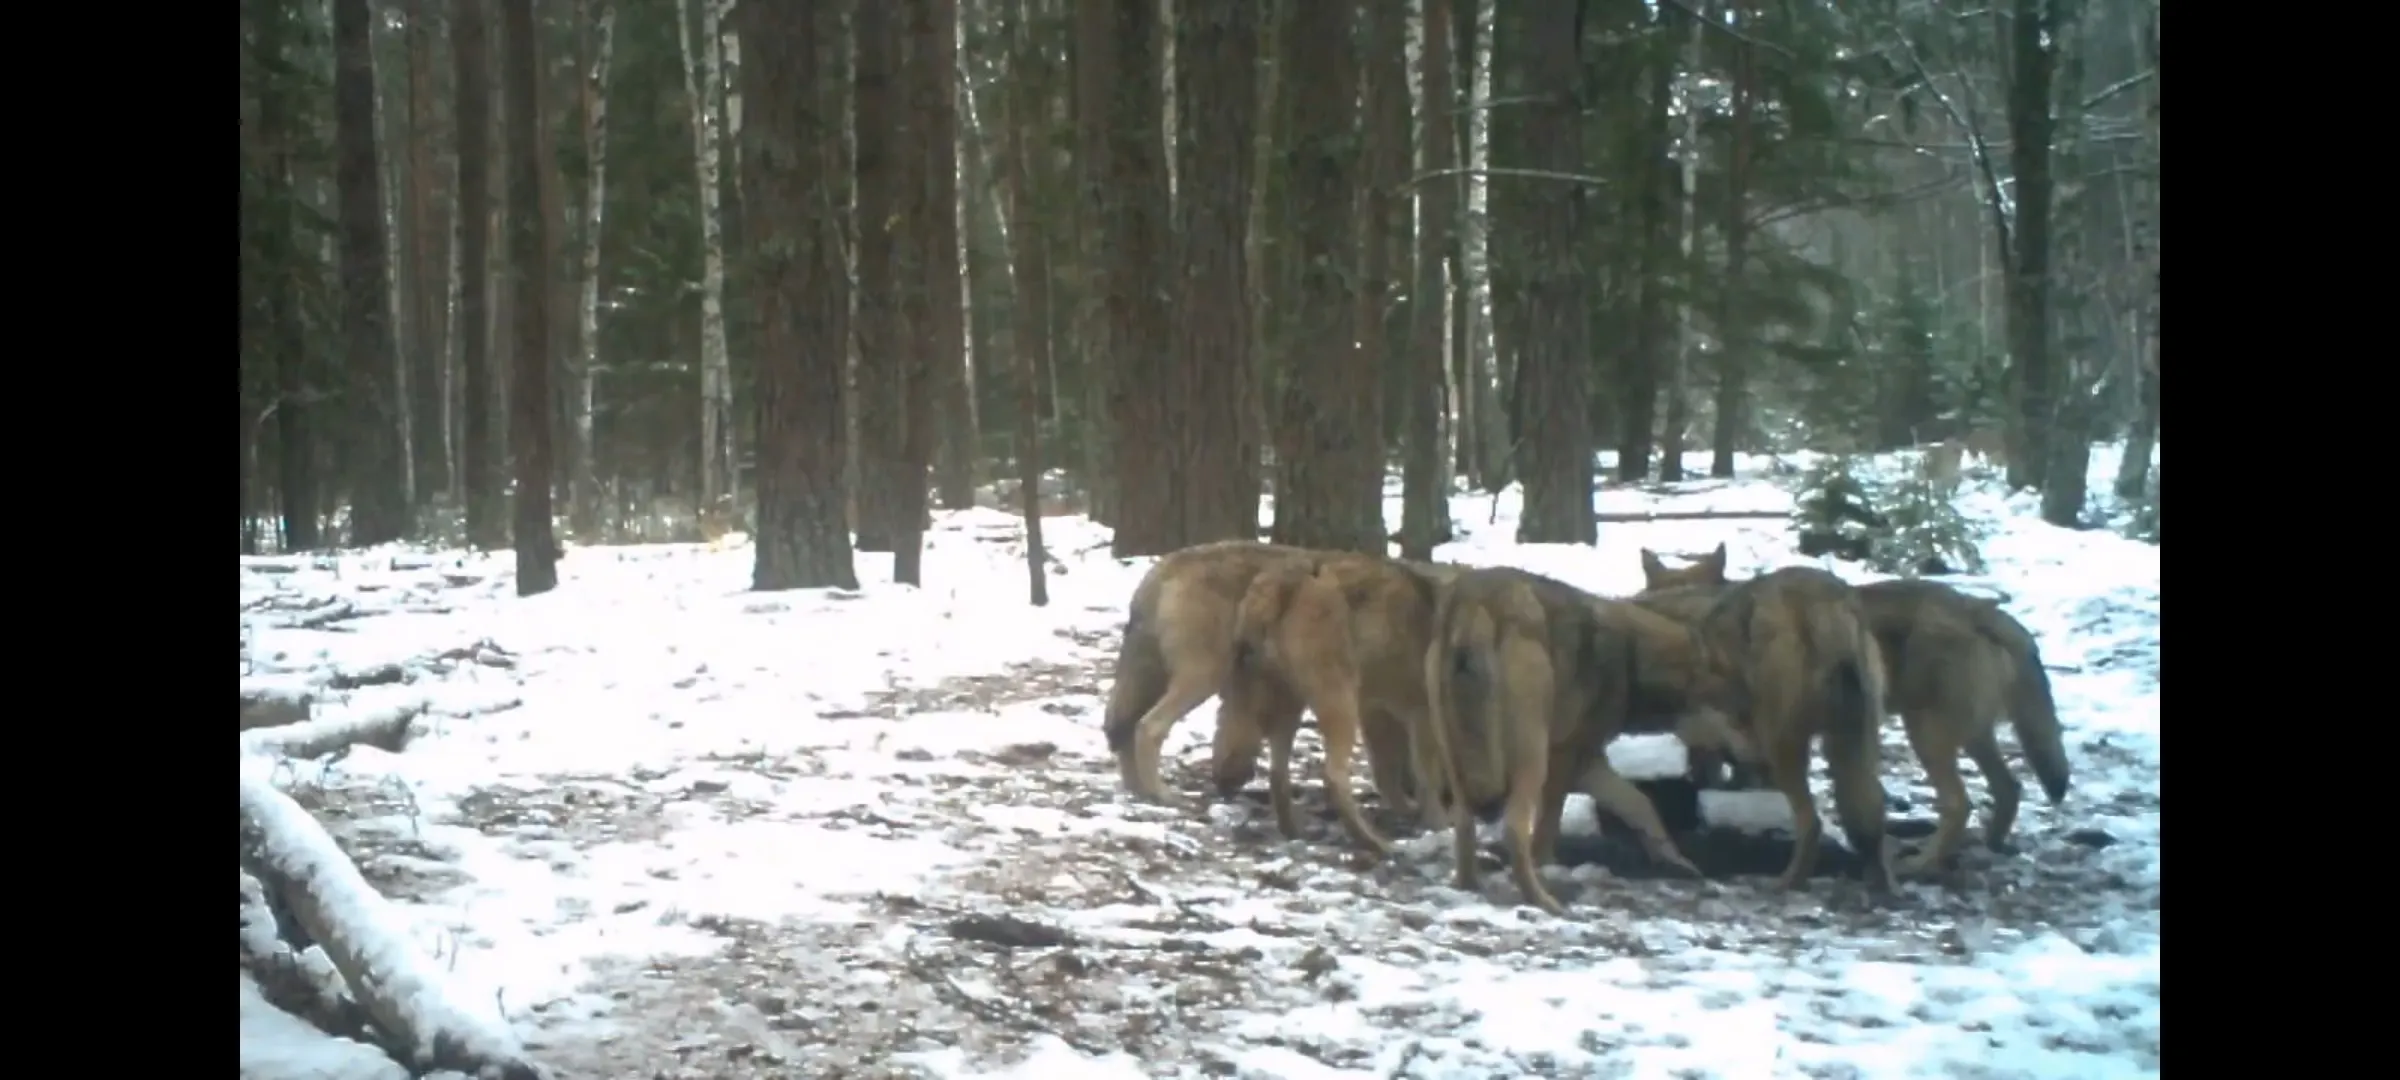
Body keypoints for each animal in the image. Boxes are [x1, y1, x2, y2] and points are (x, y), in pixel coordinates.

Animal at [1420, 566, 1747, 912]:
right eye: (1743, 715)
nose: (1755, 758)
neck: (1632, 660)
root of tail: (1476, 597)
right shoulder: (1566, 758)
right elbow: (1549, 829)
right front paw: (1549, 865)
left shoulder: (1587, 761)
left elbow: (1641, 805)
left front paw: (1675, 861)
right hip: (1531, 759)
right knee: (1514, 829)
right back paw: (1543, 900)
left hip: (1456, 758)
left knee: (1464, 824)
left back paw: (1467, 887)